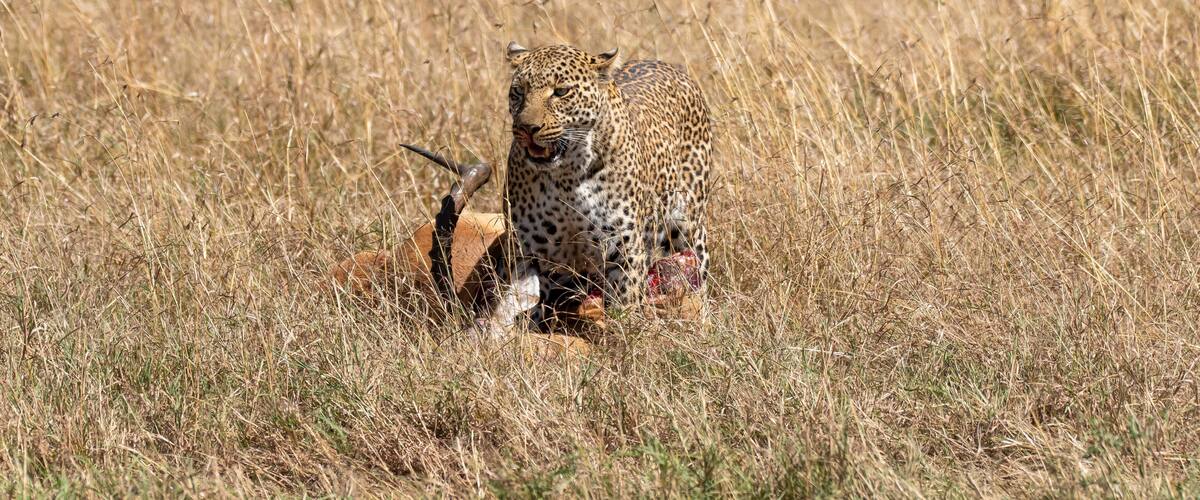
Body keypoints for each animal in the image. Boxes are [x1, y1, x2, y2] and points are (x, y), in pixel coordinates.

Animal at [499, 41, 712, 326]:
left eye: (561, 92)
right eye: (519, 92)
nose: (527, 128)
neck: (566, 176)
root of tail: (668, 65)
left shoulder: (623, 246)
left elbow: (625, 301)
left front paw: (626, 330)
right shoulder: (527, 250)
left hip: (689, 227)